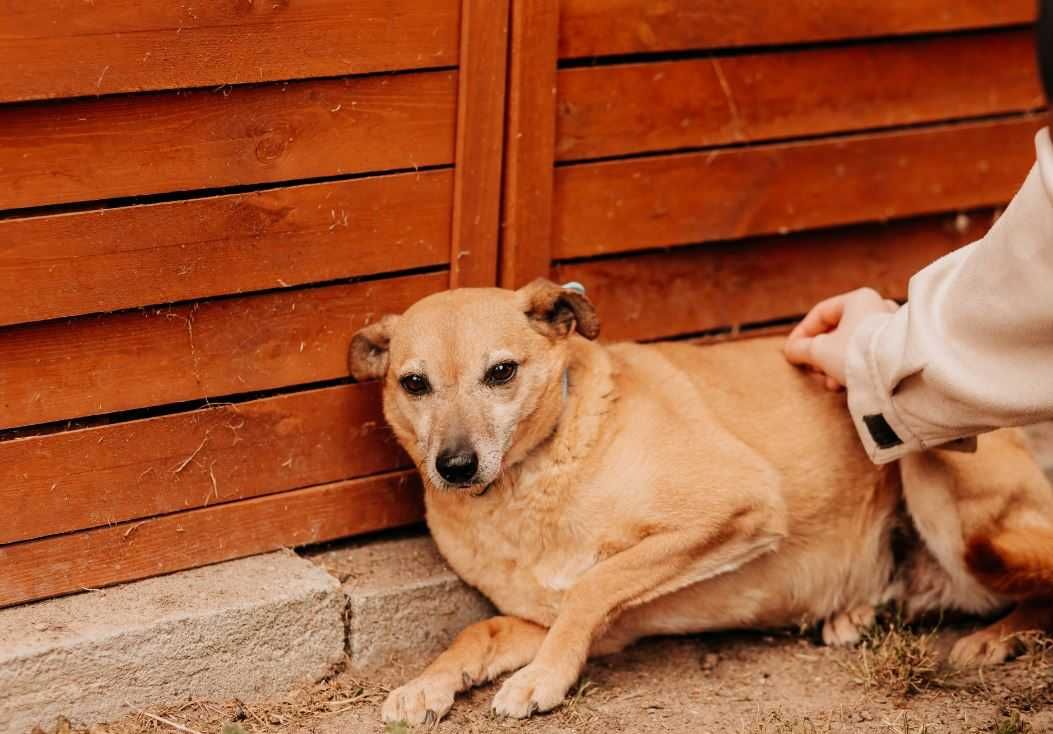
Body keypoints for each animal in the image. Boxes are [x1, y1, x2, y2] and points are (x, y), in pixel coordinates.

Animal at [349, 280, 1053, 720]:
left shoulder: (741, 505)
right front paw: (426, 686)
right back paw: (856, 612)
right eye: (414, 383)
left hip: (942, 493)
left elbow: (596, 583)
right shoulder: (545, 622)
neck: (535, 478)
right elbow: (480, 632)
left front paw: (542, 679)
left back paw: (997, 638)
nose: (455, 467)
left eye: (501, 372)